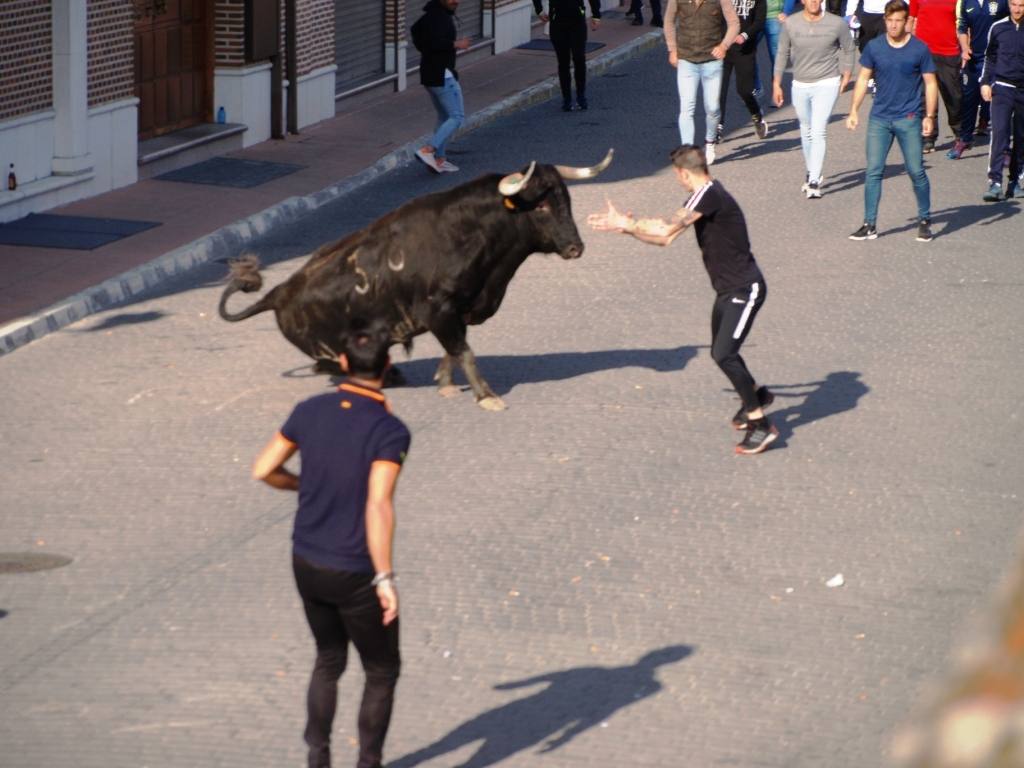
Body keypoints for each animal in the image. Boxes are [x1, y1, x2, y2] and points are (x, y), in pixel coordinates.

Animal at [219, 152, 610, 411]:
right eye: (542, 206)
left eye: (566, 199)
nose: (576, 248)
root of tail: (278, 292)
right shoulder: (439, 309)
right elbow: (463, 350)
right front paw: (487, 396)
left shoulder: (461, 309)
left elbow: (455, 349)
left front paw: (446, 384)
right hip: (327, 346)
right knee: (329, 365)